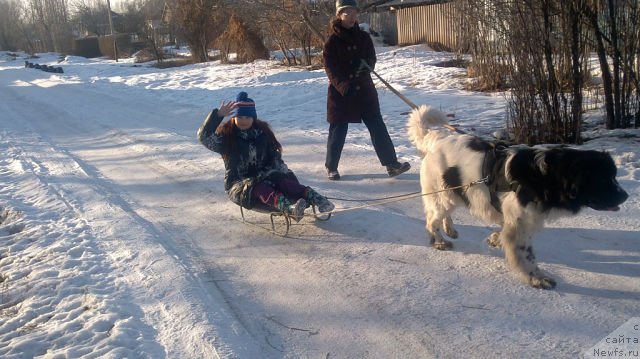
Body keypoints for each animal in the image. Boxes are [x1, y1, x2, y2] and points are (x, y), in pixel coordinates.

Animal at [408, 105, 628, 290]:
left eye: (613, 176)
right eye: (603, 179)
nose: (625, 196)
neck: (545, 176)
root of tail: (436, 137)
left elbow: (504, 233)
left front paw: (496, 239)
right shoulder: (520, 224)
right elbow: (525, 255)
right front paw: (537, 278)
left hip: (452, 193)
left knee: (444, 214)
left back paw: (450, 230)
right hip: (442, 196)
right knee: (431, 220)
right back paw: (439, 241)